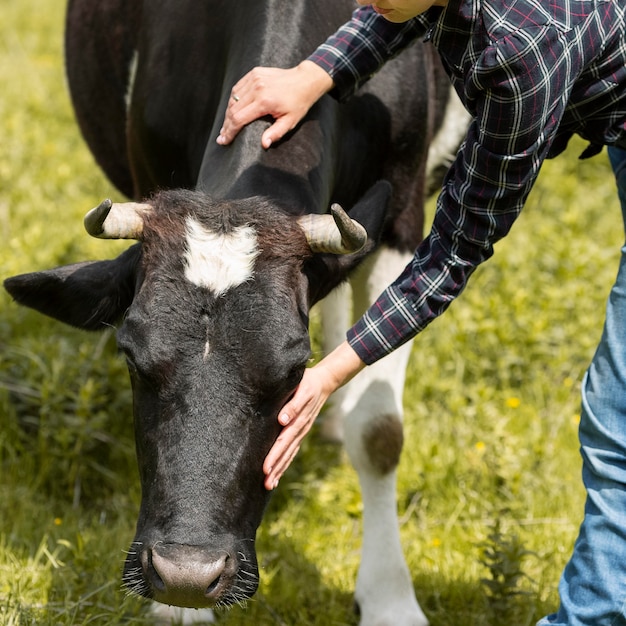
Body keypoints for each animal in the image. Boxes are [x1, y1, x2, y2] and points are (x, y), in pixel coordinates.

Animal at [3, 1, 464, 624]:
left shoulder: (404, 213)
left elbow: (380, 430)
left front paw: (390, 598)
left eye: (295, 368)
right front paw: (181, 611)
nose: (186, 574)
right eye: (131, 356)